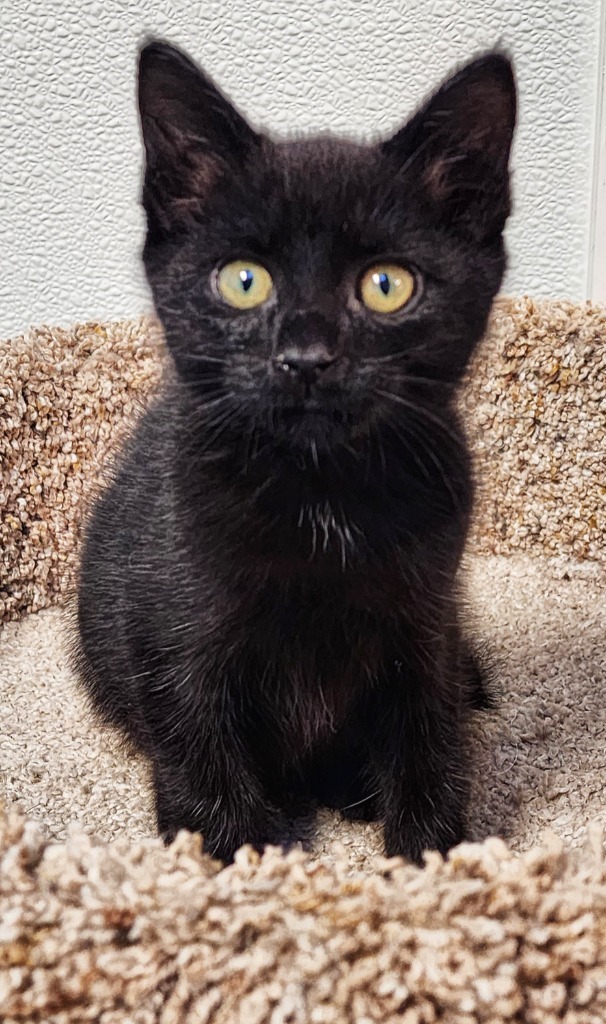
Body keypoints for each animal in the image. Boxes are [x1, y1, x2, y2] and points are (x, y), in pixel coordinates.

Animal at [73, 46, 513, 864]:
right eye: (244, 280)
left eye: (386, 285)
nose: (306, 359)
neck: (322, 493)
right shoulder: (174, 633)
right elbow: (201, 758)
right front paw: (232, 867)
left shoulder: (426, 620)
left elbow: (431, 734)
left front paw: (432, 864)